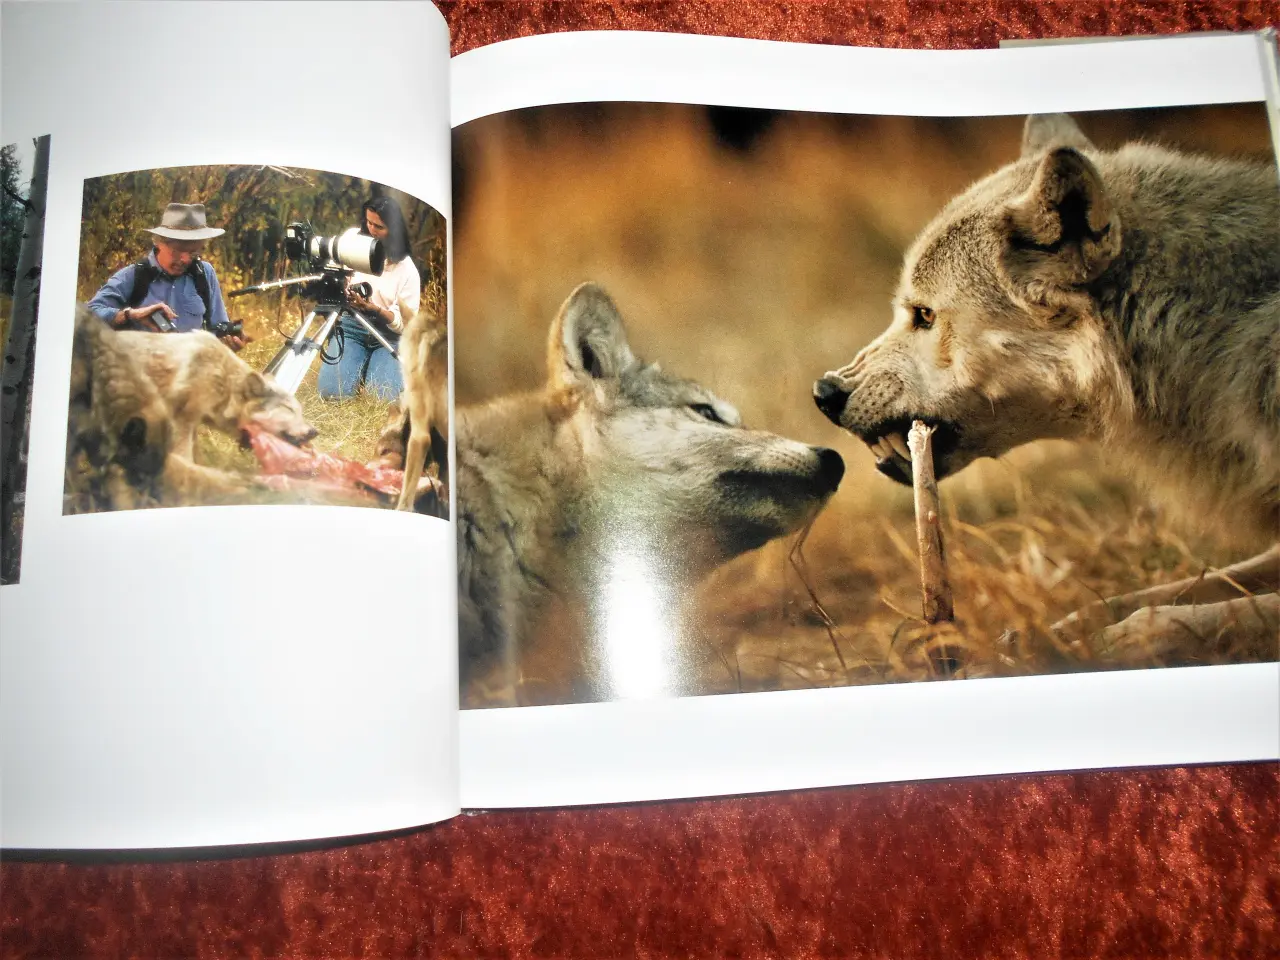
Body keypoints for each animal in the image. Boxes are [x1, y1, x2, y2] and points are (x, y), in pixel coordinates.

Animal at [814, 113, 1279, 657]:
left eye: (924, 315)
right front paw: (1046, 636)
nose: (824, 393)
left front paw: (1116, 642)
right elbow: (1134, 596)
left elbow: (1180, 614)